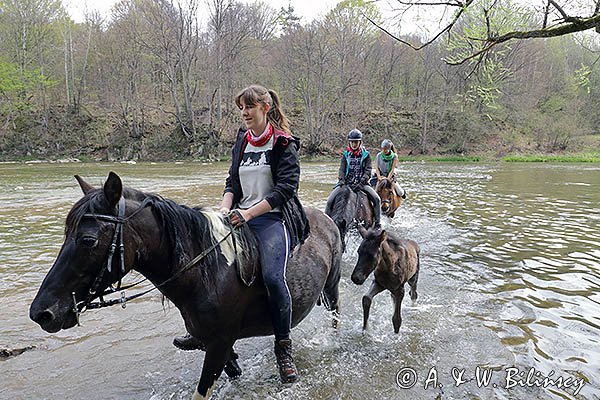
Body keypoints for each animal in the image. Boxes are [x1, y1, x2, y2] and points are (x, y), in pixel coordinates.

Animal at [29, 172, 342, 400]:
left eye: (88, 240)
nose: (41, 313)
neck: (207, 272)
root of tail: (326, 218)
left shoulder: (219, 343)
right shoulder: (217, 345)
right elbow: (233, 371)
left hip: (332, 287)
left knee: (334, 316)